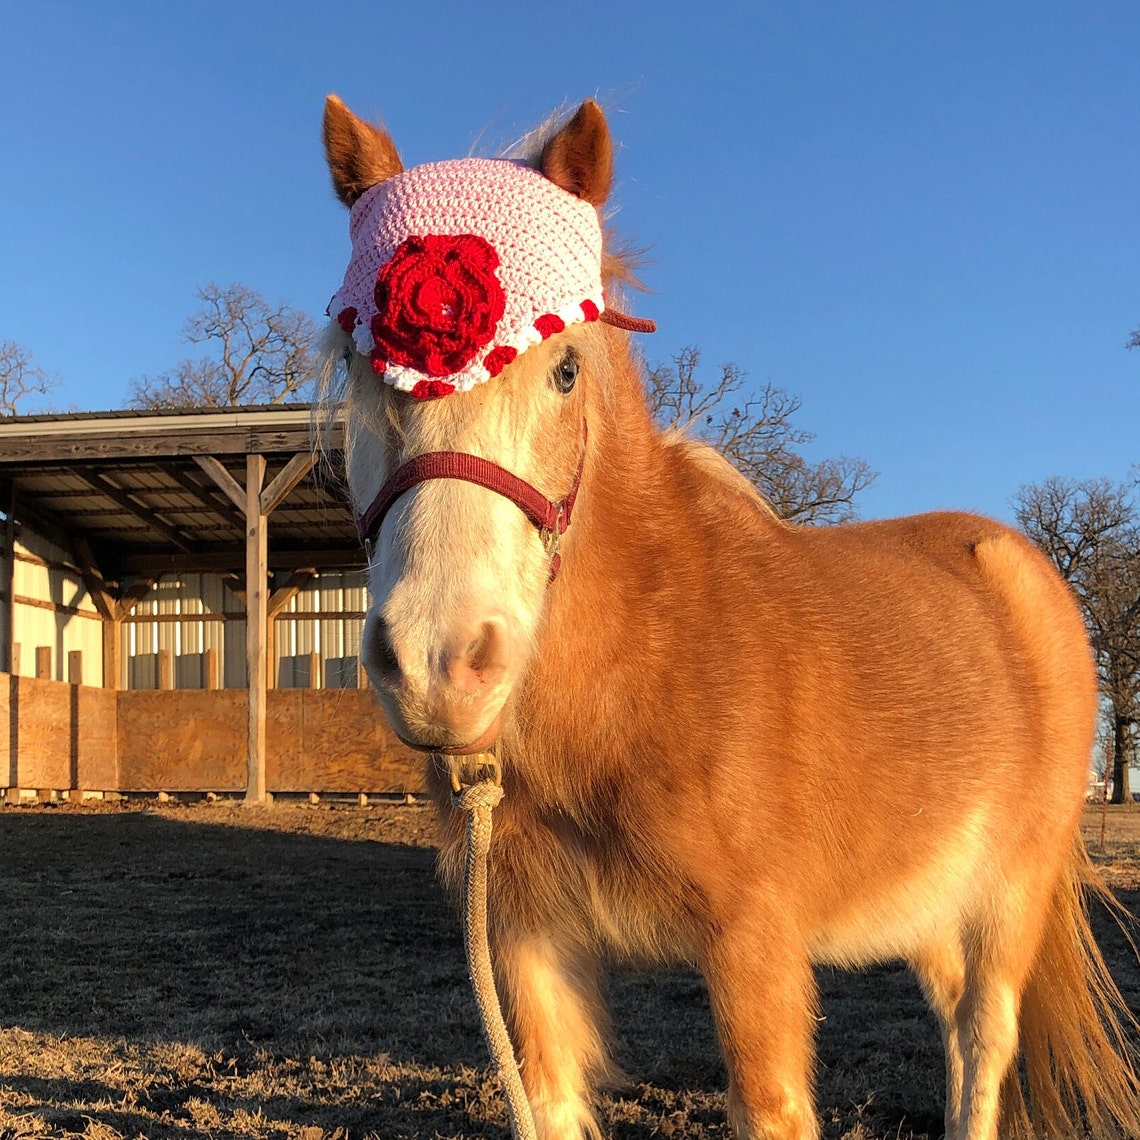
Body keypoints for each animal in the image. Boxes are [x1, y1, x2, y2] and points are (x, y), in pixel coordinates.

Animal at [318, 94, 1140, 1140]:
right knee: (958, 1033)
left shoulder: (755, 947)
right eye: (359, 366)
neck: (652, 657)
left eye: (566, 371)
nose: (439, 666)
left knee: (986, 1041)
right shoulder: (528, 939)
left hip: (1010, 893)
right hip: (924, 899)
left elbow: (772, 1106)